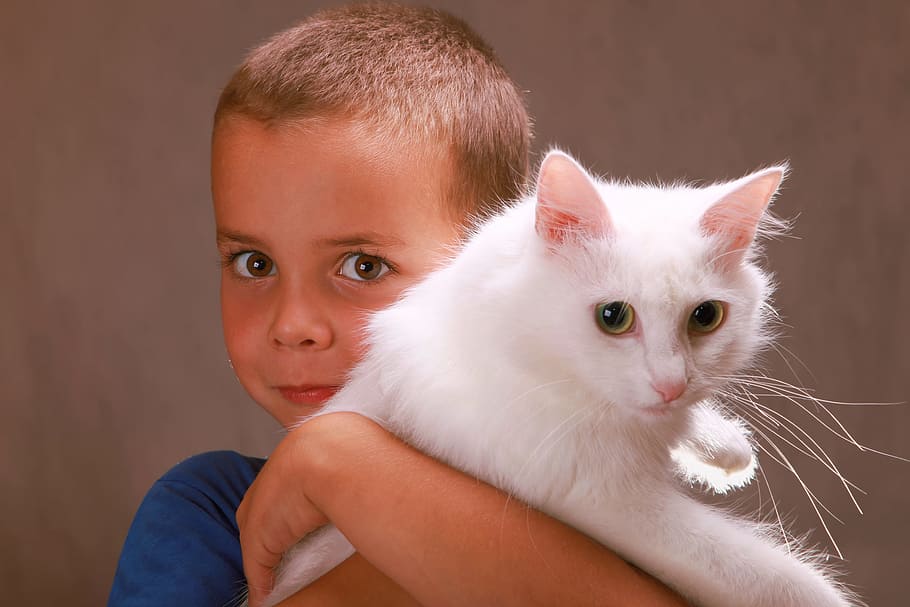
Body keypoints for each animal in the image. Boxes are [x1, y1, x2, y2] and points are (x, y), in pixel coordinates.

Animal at [260, 151, 860, 607]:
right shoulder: (603, 500)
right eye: (613, 317)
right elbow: (771, 577)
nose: (671, 384)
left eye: (706, 317)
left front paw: (725, 446)